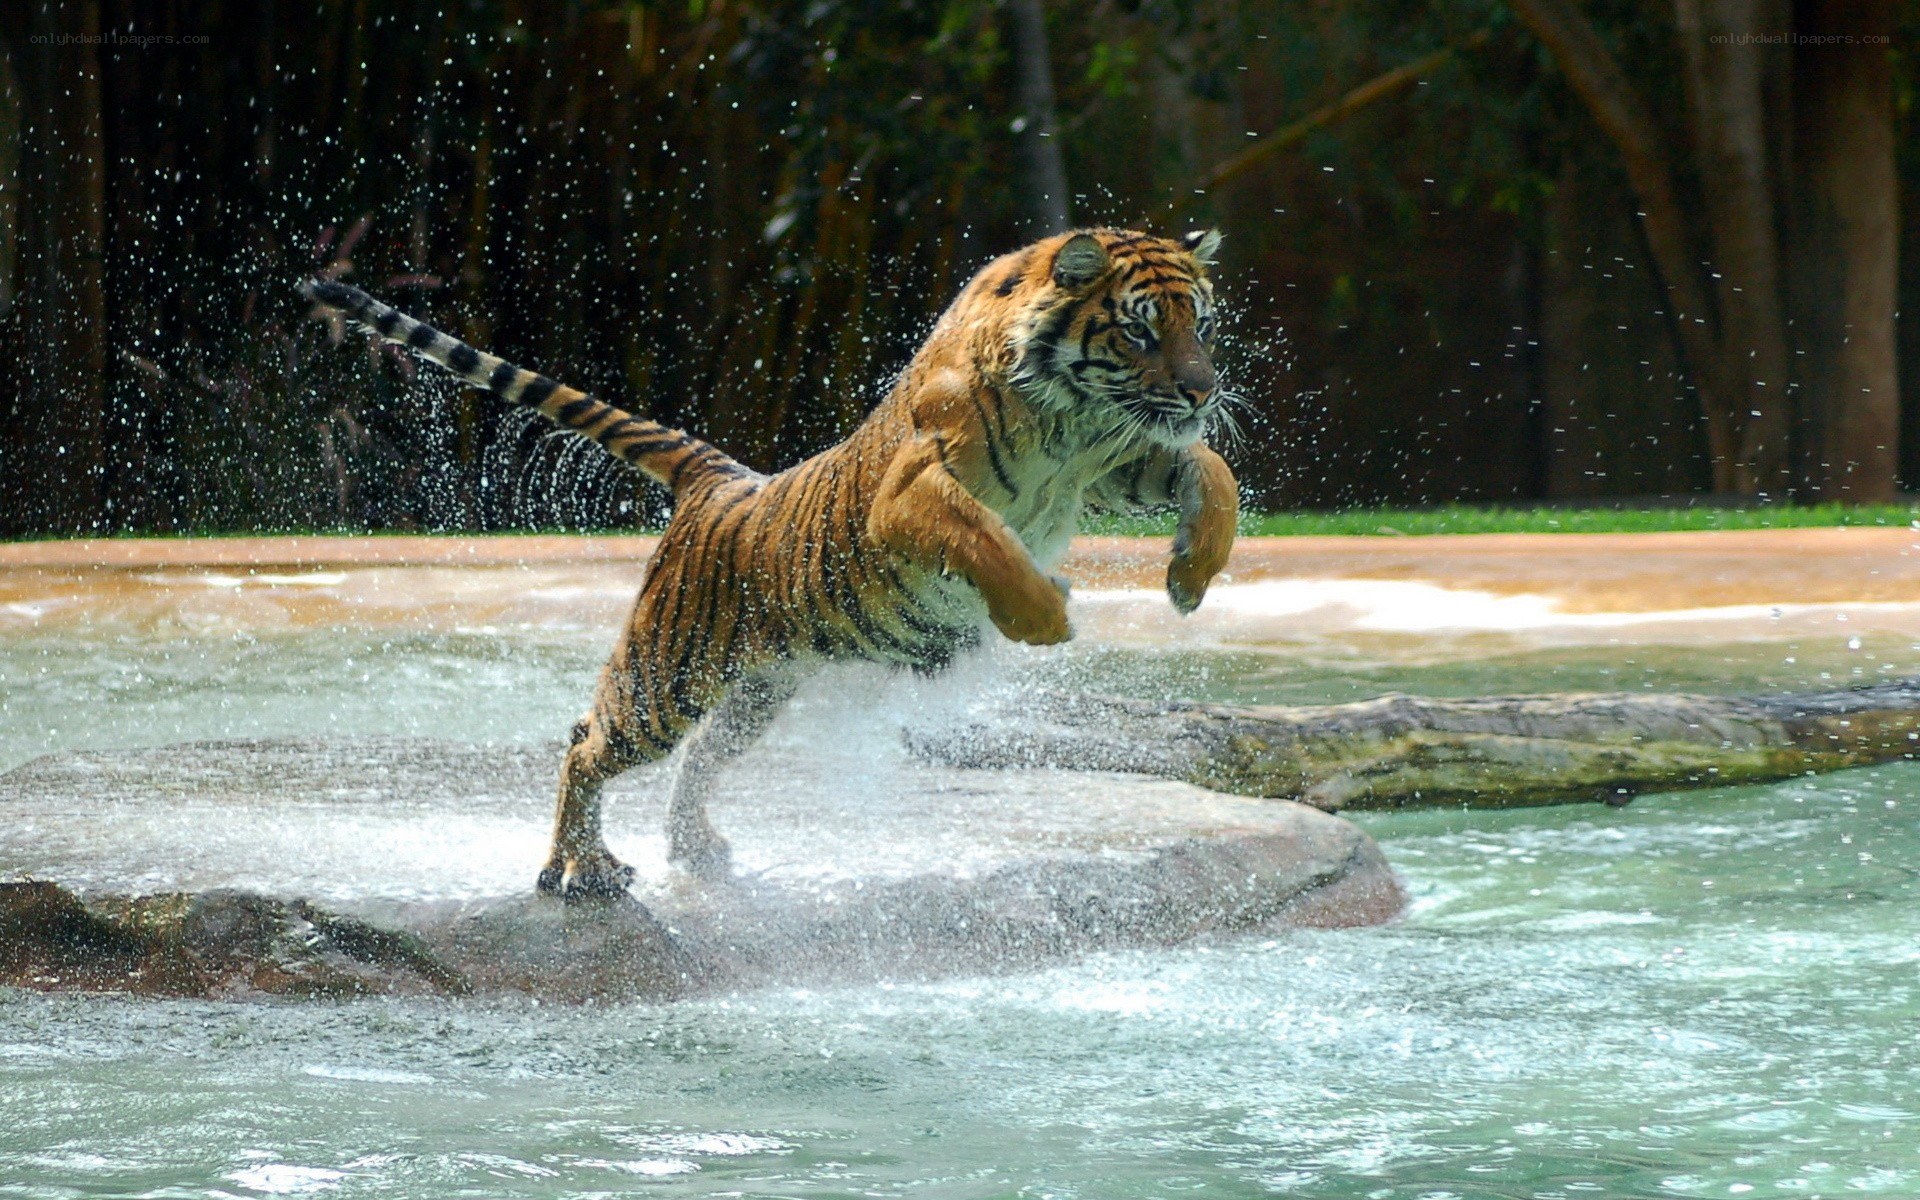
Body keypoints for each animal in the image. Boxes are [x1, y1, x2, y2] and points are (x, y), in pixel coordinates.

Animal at [301, 227, 1239, 899]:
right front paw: (1045, 614)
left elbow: (1212, 471)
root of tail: (721, 480)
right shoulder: (911, 493)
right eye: (1140, 329)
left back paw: (696, 852)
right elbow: (987, 541)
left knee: (697, 762)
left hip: (758, 688)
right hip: (667, 676)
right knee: (585, 743)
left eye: (1199, 322)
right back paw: (581, 871)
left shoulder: (1120, 461)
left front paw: (1190, 576)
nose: (1204, 390)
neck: (1071, 419)